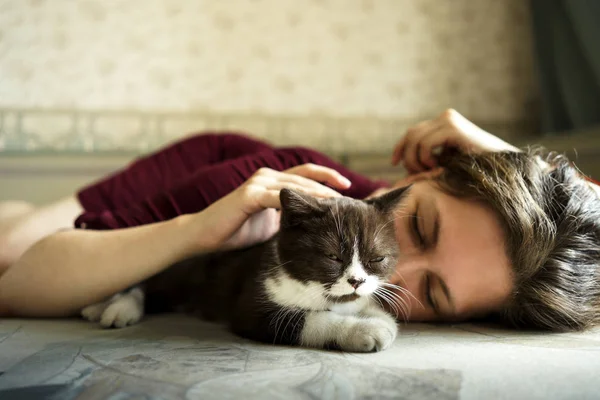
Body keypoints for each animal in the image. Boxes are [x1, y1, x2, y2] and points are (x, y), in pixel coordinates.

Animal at [83, 188, 408, 354]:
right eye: (332, 257)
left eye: (377, 258)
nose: (356, 281)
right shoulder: (252, 301)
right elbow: (306, 320)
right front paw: (366, 330)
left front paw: (378, 317)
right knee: (147, 284)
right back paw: (113, 309)